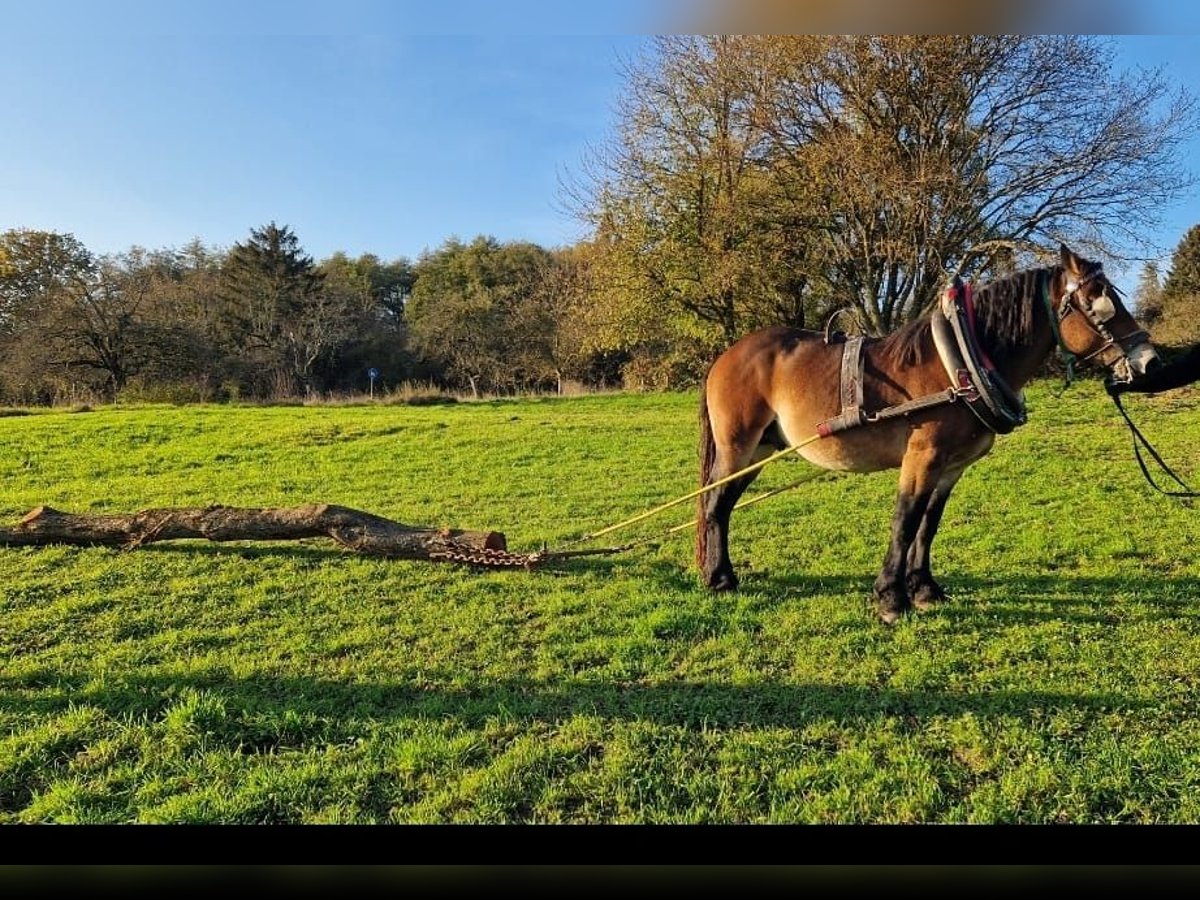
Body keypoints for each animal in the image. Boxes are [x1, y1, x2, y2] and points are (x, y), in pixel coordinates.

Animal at [700, 247, 1156, 628]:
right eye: (1099, 306)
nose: (1149, 362)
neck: (961, 367)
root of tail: (726, 356)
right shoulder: (922, 457)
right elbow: (905, 522)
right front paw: (890, 599)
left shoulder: (951, 467)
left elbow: (928, 525)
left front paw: (924, 590)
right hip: (737, 446)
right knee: (714, 504)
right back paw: (720, 578)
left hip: (760, 450)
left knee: (724, 504)